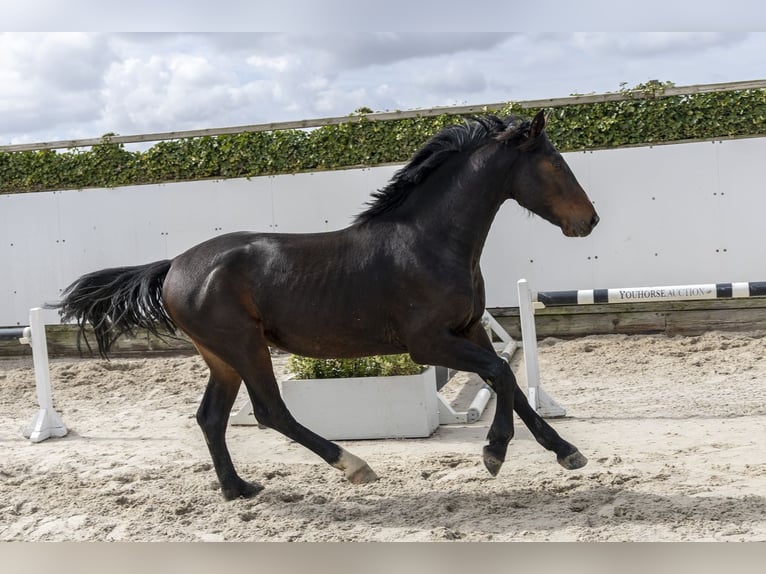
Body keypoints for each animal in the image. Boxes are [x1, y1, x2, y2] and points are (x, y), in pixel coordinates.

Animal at [52, 110, 599, 500]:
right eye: (554, 163)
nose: (589, 220)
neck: (428, 242)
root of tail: (173, 267)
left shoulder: (469, 330)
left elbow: (511, 383)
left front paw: (568, 453)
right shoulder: (428, 344)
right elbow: (502, 375)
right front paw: (494, 452)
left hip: (220, 356)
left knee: (211, 417)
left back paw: (238, 490)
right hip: (244, 346)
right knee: (270, 411)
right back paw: (355, 466)